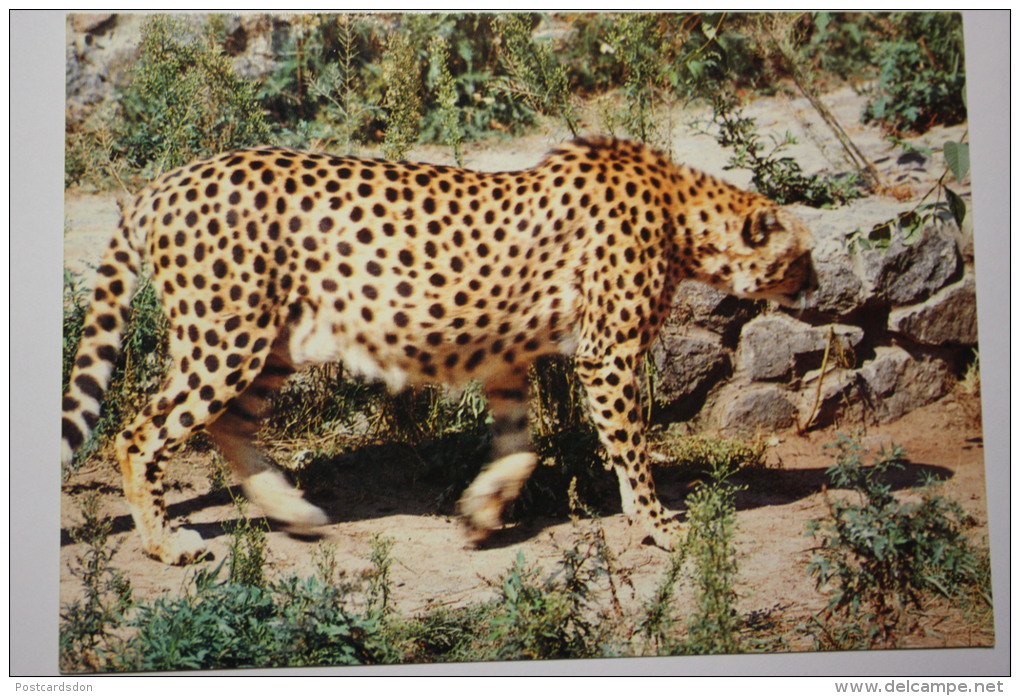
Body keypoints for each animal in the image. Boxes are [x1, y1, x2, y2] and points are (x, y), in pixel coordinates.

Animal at [61, 136, 811, 563]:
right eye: (800, 255)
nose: (813, 282)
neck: (684, 214)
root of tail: (168, 180)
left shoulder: (508, 355)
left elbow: (521, 447)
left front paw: (481, 514)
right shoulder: (609, 356)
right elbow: (631, 451)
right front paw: (658, 525)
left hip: (270, 344)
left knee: (228, 427)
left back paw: (293, 511)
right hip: (227, 338)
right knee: (140, 434)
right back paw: (164, 543)